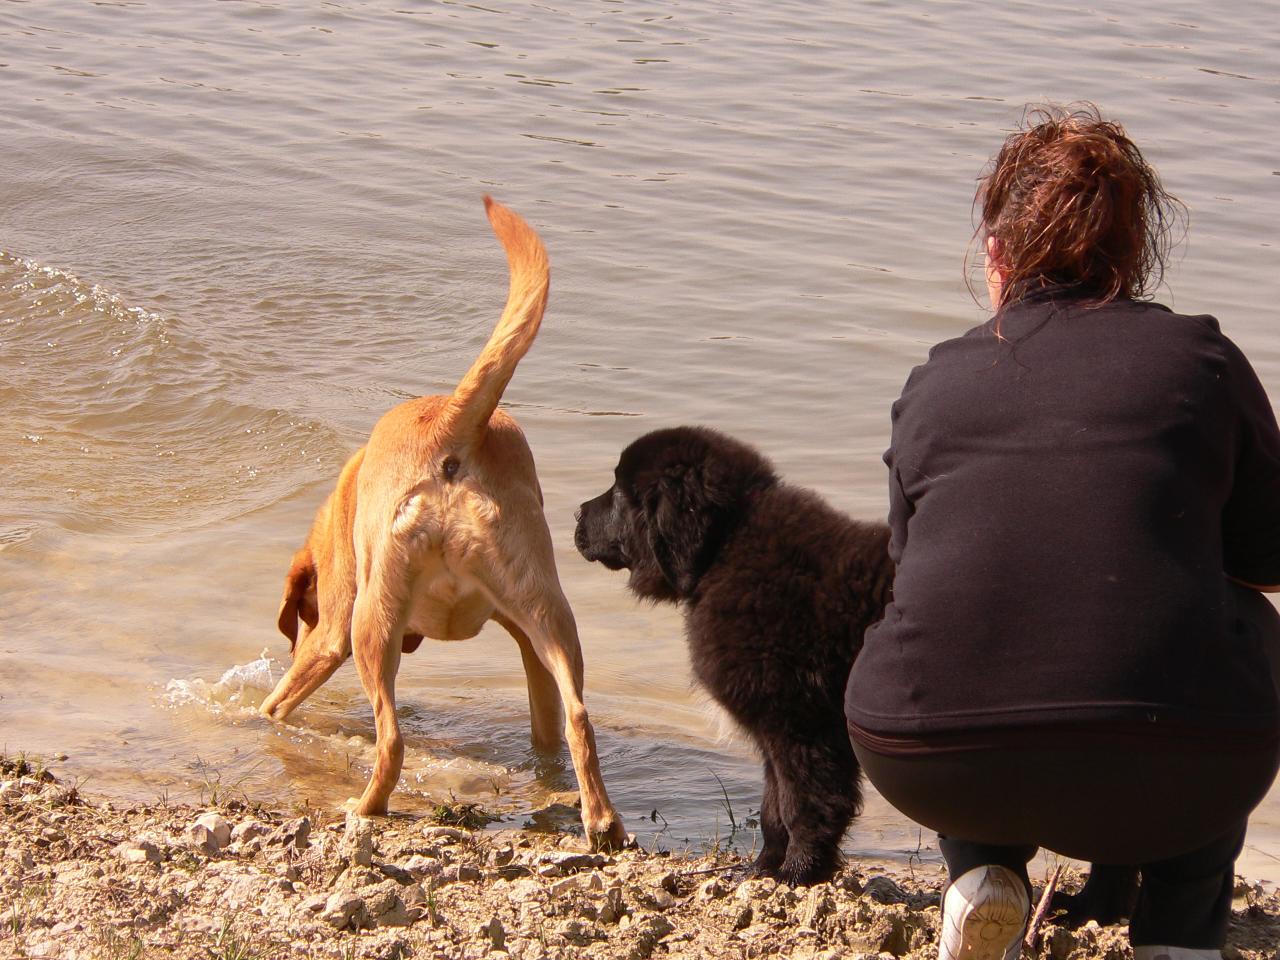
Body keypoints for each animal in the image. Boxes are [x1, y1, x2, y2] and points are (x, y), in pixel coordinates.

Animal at [573, 427, 890, 885]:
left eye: (618, 492)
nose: (575, 515)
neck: (724, 549)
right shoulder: (781, 733)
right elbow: (773, 806)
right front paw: (761, 868)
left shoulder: (799, 726)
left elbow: (804, 802)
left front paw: (798, 871)